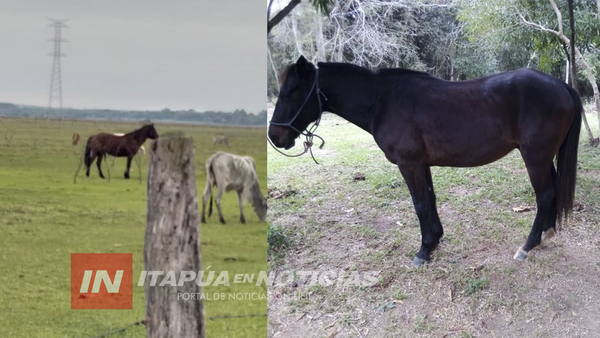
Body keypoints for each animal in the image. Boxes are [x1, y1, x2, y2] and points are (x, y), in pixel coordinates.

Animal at [268, 55, 580, 266]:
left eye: (288, 92)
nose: (275, 136)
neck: (383, 101)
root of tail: (561, 85)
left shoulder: (409, 164)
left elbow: (419, 205)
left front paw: (423, 250)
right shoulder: (422, 164)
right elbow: (430, 200)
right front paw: (436, 241)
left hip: (535, 157)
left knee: (544, 195)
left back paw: (528, 245)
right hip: (544, 157)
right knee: (551, 192)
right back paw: (547, 234)